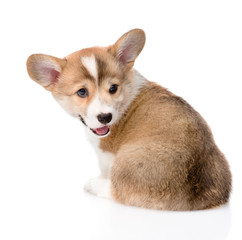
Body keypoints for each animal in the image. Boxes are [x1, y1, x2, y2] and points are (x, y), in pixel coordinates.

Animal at [27, 29, 233, 211]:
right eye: (82, 92)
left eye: (113, 88)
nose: (105, 117)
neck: (126, 93)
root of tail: (194, 197)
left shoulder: (106, 153)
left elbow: (105, 170)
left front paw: (100, 178)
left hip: (125, 159)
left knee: (117, 191)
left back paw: (94, 184)